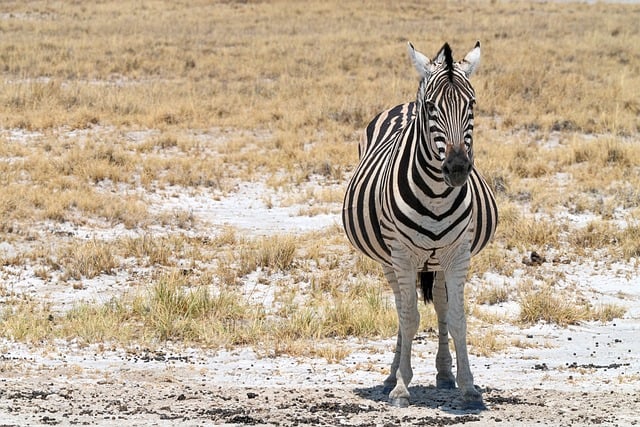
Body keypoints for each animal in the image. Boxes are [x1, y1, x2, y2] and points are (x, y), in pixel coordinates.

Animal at [342, 41, 498, 409]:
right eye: (431, 107)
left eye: (472, 104)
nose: (457, 168)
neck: (437, 196)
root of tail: (403, 105)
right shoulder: (400, 253)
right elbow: (410, 317)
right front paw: (401, 386)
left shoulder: (459, 254)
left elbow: (457, 318)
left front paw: (468, 386)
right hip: (389, 259)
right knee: (402, 307)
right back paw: (392, 376)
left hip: (437, 261)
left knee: (438, 303)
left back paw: (444, 374)